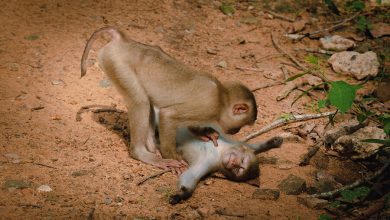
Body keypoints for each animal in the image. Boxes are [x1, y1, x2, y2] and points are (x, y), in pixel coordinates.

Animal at [79, 26, 258, 169]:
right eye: (240, 126)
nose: (235, 131)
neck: (221, 97)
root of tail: (123, 41)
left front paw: (203, 132)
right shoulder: (209, 106)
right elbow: (168, 116)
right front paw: (172, 157)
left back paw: (152, 147)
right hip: (117, 63)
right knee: (140, 102)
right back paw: (143, 153)